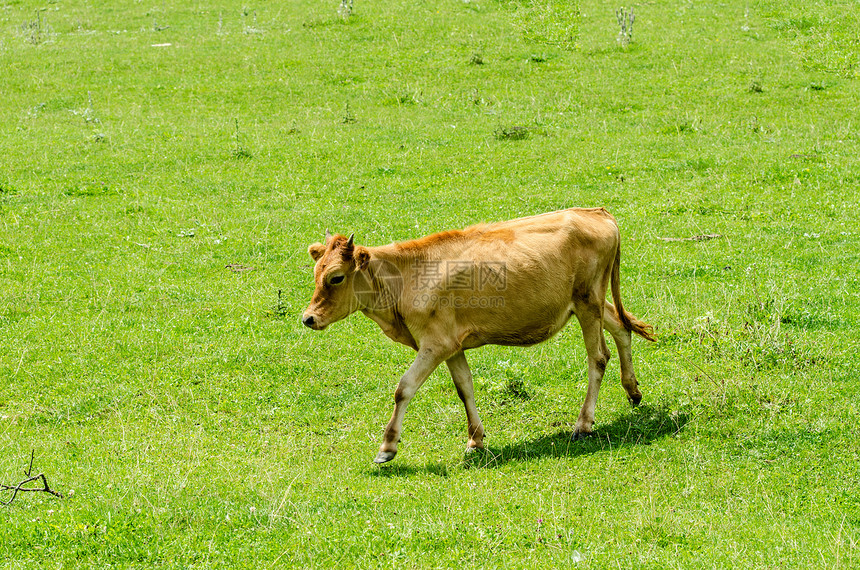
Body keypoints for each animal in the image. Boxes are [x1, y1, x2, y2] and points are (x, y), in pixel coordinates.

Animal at [300, 209, 652, 462]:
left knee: (598, 357)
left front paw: (387, 447)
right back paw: (633, 391)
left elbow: (404, 388)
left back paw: (583, 425)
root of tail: (596, 212)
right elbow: (464, 388)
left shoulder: (435, 344)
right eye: (316, 273)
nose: (308, 318)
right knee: (621, 327)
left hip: (587, 300)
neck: (405, 277)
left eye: (336, 277)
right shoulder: (452, 345)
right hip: (590, 302)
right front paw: (475, 439)